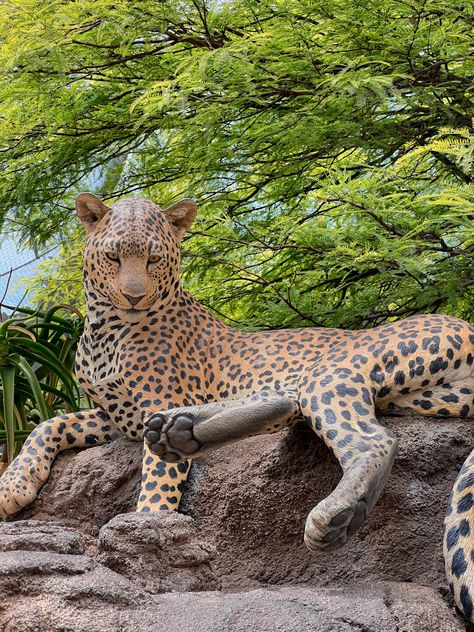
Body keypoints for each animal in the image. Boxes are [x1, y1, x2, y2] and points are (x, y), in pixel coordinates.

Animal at [0, 194, 474, 624]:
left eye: (153, 259)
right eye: (113, 257)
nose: (133, 296)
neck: (105, 331)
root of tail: (464, 322)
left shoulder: (150, 405)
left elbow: (156, 486)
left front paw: (145, 534)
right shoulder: (114, 418)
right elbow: (50, 422)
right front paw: (13, 485)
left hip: (337, 369)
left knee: (371, 439)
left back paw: (333, 516)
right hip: (405, 394)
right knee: (284, 402)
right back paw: (181, 431)